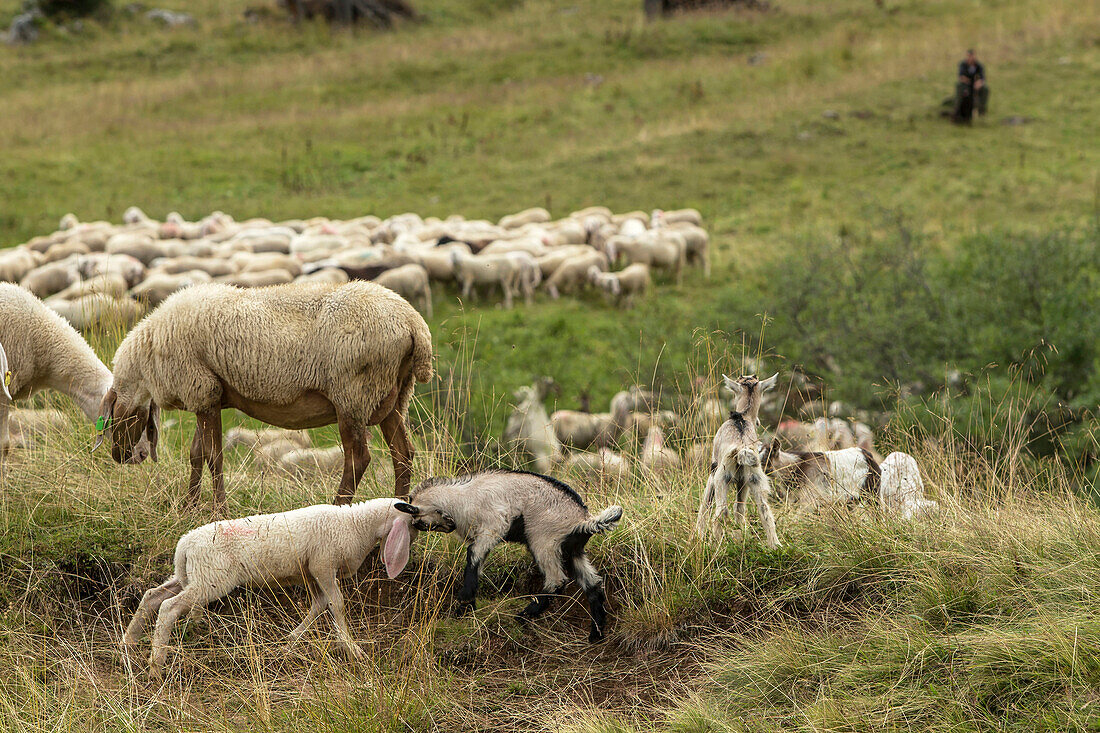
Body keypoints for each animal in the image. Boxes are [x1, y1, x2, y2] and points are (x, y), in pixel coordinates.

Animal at [97, 280, 433, 508]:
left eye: (112, 417)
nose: (119, 456)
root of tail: (413, 323)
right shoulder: (206, 396)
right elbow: (196, 455)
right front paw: (189, 507)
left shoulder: (201, 389)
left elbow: (214, 457)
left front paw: (219, 511)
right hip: (394, 396)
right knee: (403, 454)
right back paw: (396, 512)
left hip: (353, 394)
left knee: (358, 458)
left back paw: (338, 508)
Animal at [396, 468, 624, 638]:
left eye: (421, 524)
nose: (450, 527)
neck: (464, 497)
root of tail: (584, 520)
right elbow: (476, 563)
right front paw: (468, 606)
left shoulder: (492, 527)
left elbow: (472, 561)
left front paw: (464, 606)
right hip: (572, 551)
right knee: (593, 584)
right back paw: (596, 633)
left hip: (543, 541)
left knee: (557, 581)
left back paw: (524, 615)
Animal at [695, 374, 783, 545]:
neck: (742, 417)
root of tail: (742, 449)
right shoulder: (743, 482)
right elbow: (740, 508)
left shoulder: (712, 471)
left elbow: (705, 502)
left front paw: (698, 535)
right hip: (755, 478)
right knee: (763, 509)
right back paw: (775, 545)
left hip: (722, 478)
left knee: (721, 512)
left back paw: (717, 545)